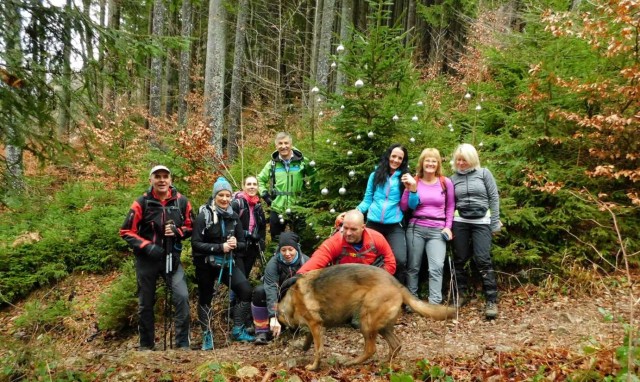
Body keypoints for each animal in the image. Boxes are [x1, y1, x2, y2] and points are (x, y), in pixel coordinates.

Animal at [276, 264, 456, 368]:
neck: (291, 302)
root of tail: (397, 284)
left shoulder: (315, 324)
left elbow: (318, 350)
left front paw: (314, 366)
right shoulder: (318, 326)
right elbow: (310, 340)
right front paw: (305, 347)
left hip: (366, 321)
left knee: (371, 349)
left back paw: (352, 362)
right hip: (381, 327)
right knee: (396, 344)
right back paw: (386, 362)